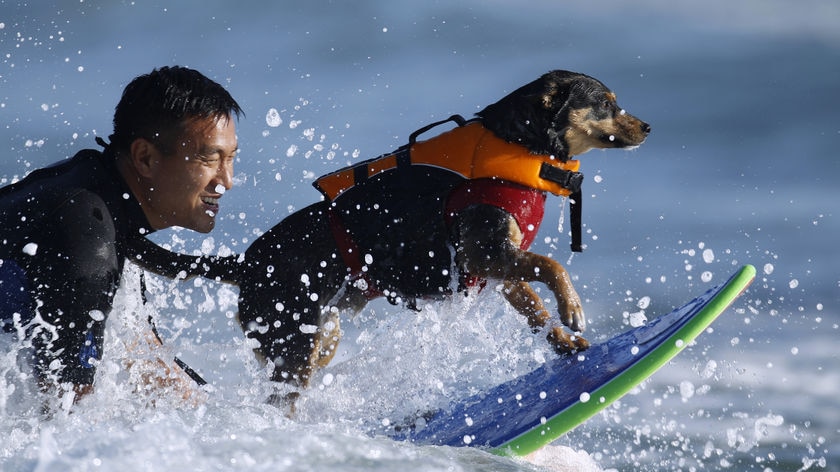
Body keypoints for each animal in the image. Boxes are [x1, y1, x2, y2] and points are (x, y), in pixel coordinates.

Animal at [135, 69, 652, 394]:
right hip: (294, 343)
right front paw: (573, 308)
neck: (521, 148)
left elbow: (534, 306)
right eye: (606, 103)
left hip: (322, 336)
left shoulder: (500, 270)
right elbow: (553, 265)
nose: (648, 126)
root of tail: (246, 262)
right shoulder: (483, 253)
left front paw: (564, 342)